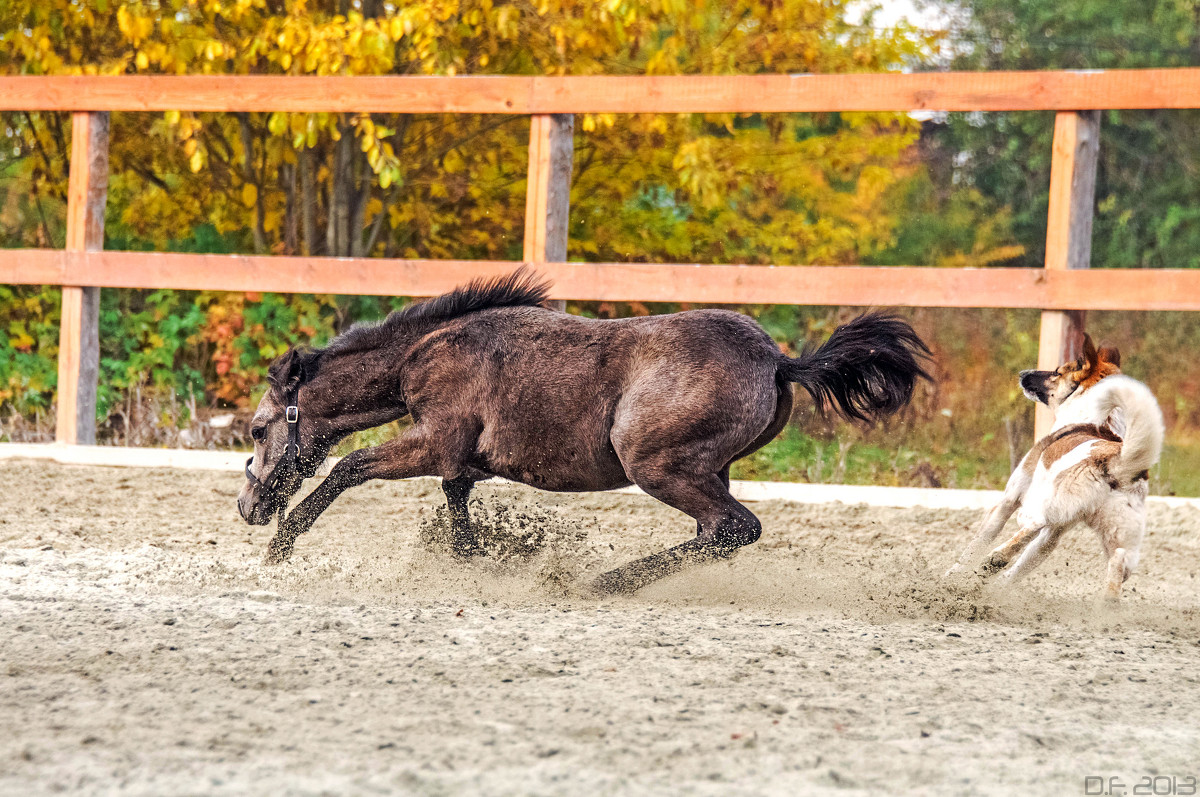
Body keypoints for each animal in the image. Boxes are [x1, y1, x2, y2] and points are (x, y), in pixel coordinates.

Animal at [234, 271, 926, 595]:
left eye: (259, 429)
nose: (247, 507)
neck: (425, 352)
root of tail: (780, 361)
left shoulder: (432, 442)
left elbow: (347, 469)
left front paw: (280, 548)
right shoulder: (462, 460)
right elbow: (456, 503)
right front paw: (478, 559)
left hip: (656, 466)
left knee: (735, 528)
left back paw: (603, 582)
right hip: (707, 469)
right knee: (723, 533)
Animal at [945, 333, 1161, 600]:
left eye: (1057, 372)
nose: (1022, 373)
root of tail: (1114, 462)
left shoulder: (1008, 501)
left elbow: (977, 544)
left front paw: (954, 575)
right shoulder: (1057, 530)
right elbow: (1024, 564)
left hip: (1040, 504)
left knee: (1033, 523)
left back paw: (997, 557)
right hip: (1121, 538)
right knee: (1119, 562)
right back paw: (1107, 604)